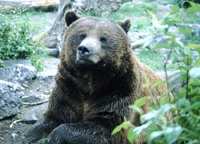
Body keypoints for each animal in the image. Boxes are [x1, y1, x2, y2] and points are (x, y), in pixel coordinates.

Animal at [26, 10, 167, 143]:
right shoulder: (68, 86)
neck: (90, 77)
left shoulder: (120, 89)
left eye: (103, 38)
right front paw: (33, 134)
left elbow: (106, 126)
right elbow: (55, 115)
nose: (84, 49)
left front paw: (54, 136)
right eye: (81, 35)